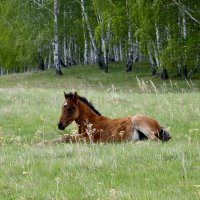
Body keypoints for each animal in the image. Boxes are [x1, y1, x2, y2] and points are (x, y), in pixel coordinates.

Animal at [38, 91, 172, 145]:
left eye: (70, 108)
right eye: (62, 107)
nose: (60, 125)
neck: (91, 122)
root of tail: (158, 125)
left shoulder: (88, 139)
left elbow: (66, 137)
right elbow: (63, 136)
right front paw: (40, 143)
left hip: (138, 121)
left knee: (154, 140)